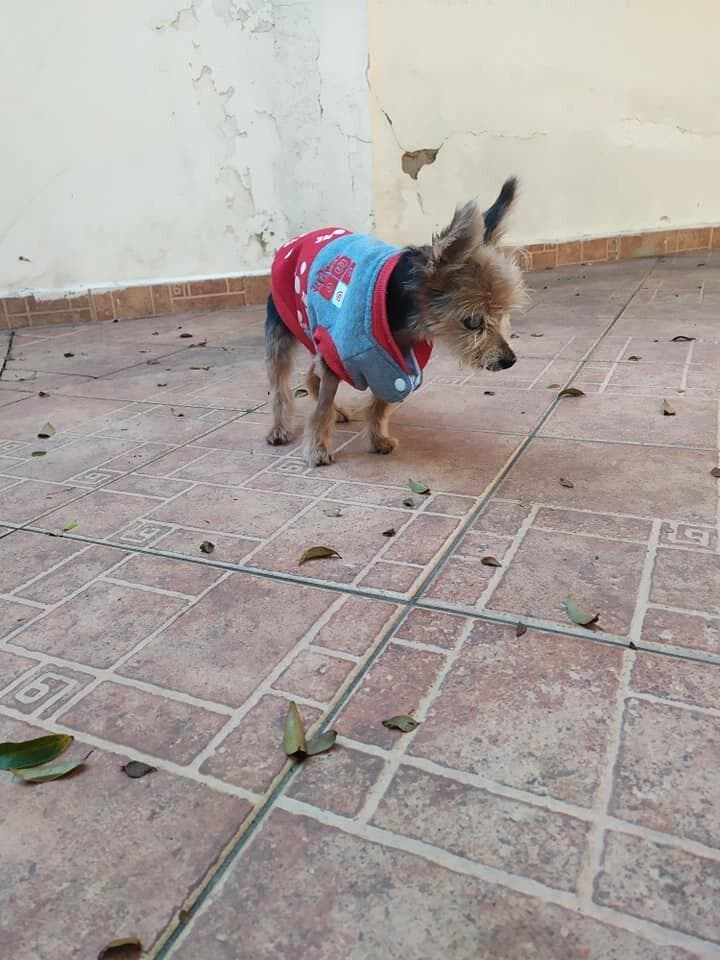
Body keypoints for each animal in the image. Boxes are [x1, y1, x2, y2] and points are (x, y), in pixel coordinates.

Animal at [262, 179, 524, 468]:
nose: (509, 360)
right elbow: (321, 408)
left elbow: (379, 404)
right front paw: (318, 448)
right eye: (473, 321)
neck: (398, 315)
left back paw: (336, 411)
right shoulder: (337, 353)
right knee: (279, 385)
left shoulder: (392, 362)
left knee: (310, 375)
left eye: (503, 316)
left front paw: (377, 439)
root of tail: (298, 240)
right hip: (282, 328)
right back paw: (280, 428)